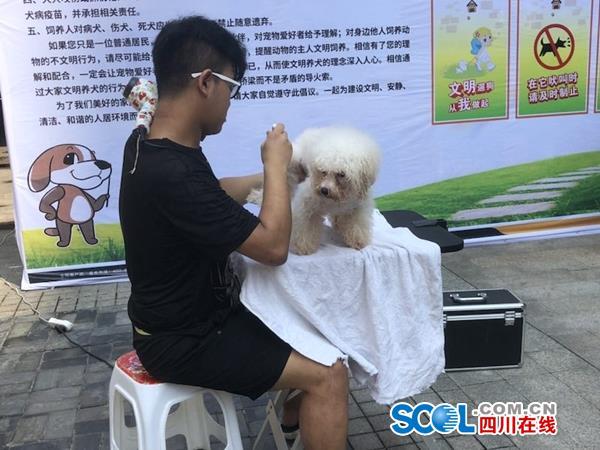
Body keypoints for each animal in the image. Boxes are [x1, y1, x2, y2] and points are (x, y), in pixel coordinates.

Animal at [289, 126, 380, 255]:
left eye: (341, 174)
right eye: (323, 171)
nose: (324, 190)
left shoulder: (358, 208)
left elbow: (356, 224)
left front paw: (357, 241)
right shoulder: (306, 206)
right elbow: (305, 227)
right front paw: (304, 247)